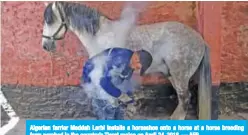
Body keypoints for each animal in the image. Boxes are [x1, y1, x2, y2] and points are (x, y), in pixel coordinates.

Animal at [40, 1, 211, 119]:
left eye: (49, 20)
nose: (45, 45)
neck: (100, 35)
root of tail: (200, 40)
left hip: (179, 74)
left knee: (185, 97)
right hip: (172, 74)